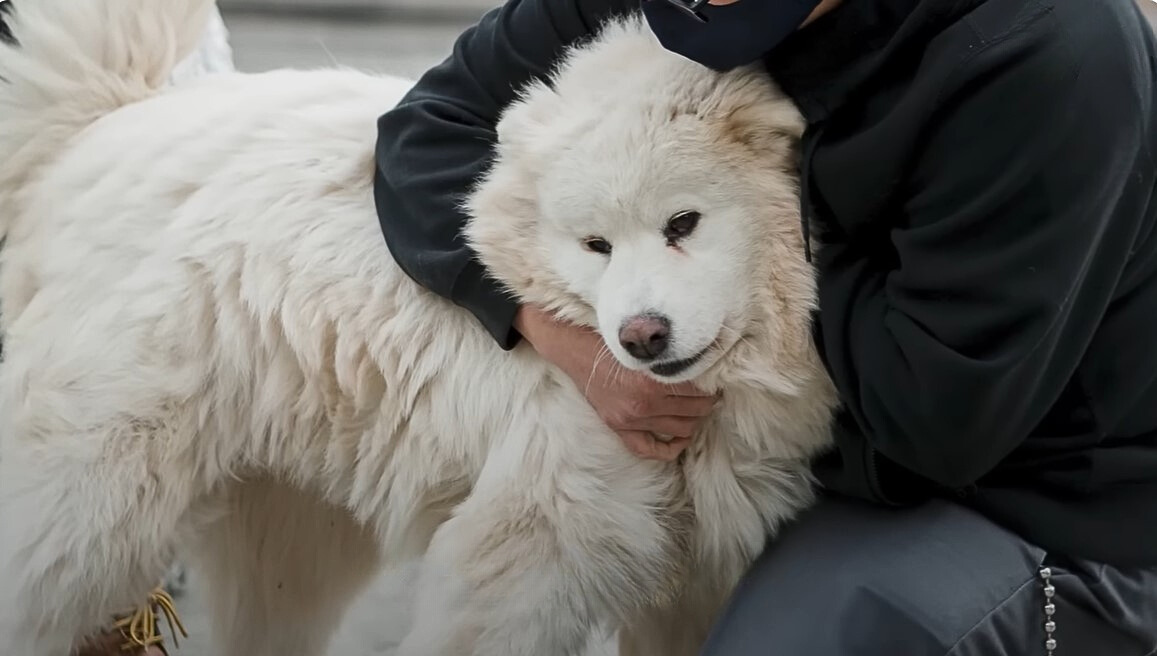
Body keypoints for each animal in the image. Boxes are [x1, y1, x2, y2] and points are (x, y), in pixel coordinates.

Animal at [0, 1, 833, 656]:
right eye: (595, 245)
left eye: (683, 223)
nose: (640, 338)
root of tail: (102, 125)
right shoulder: (528, 547)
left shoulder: (694, 578)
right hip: (93, 501)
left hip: (286, 537)